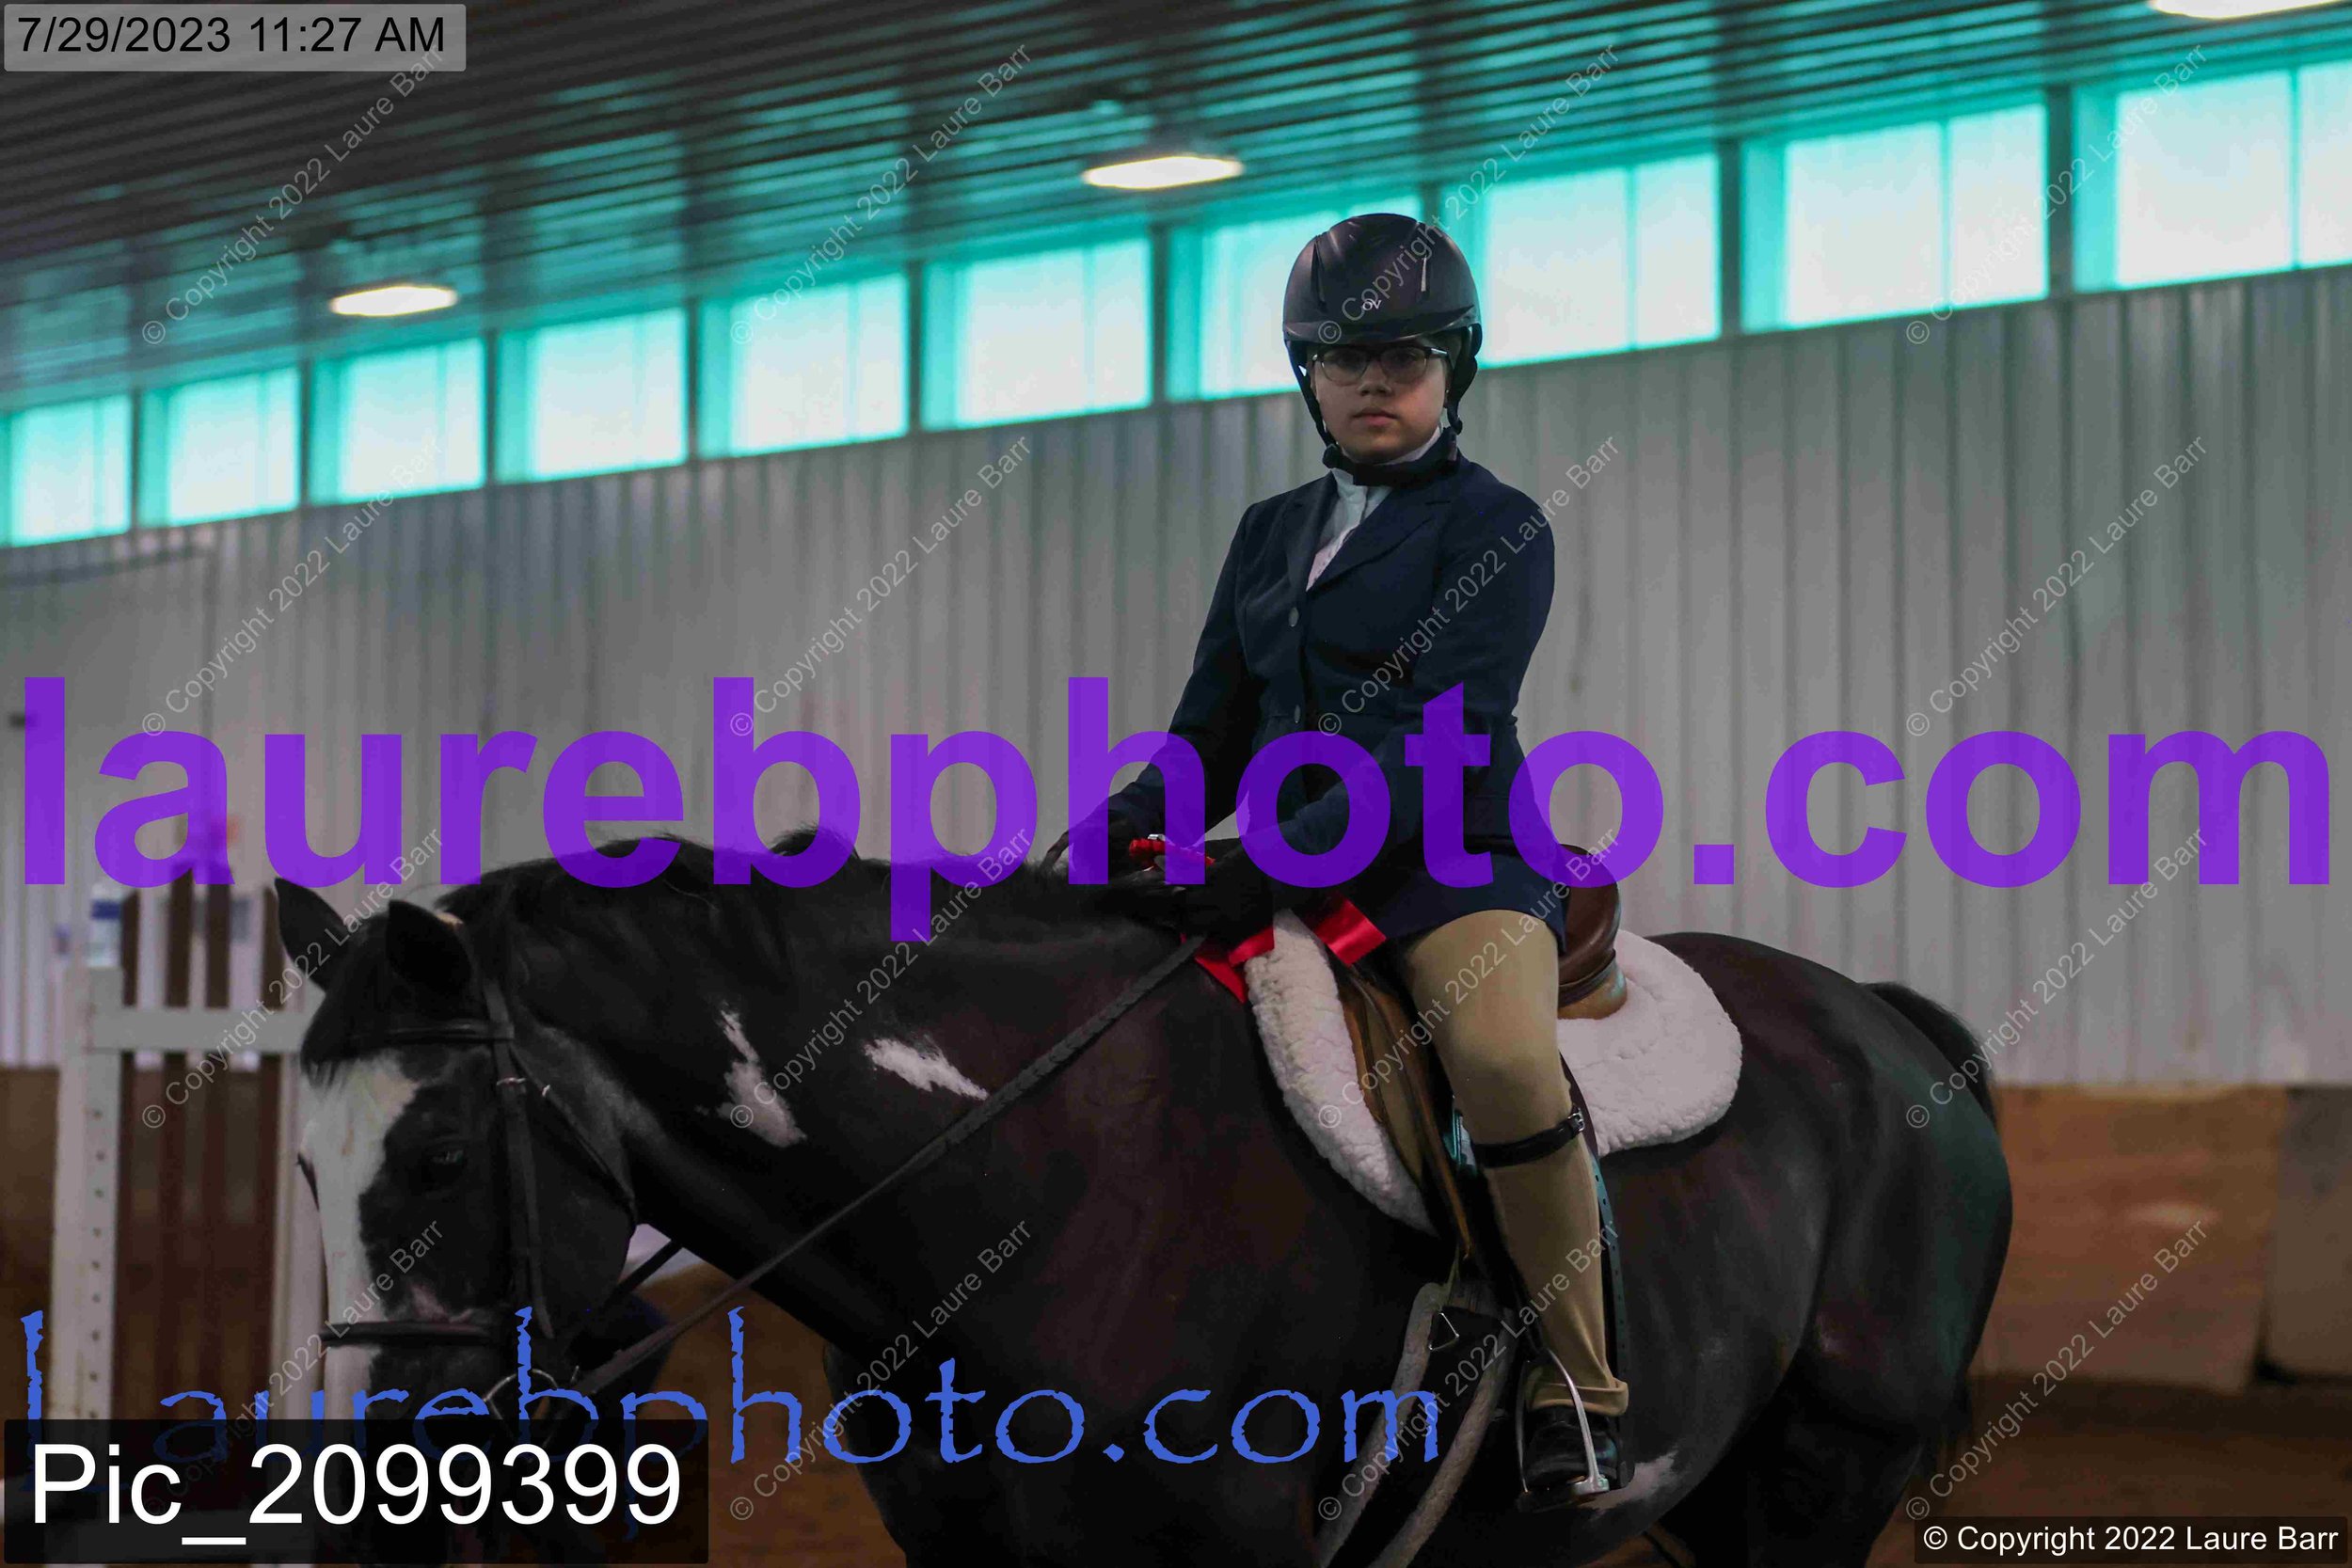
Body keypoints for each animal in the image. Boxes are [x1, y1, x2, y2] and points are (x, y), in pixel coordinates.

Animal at [277, 833, 2010, 1567]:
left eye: (437, 1157)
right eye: (299, 1165)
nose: (369, 1476)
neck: (1031, 1177)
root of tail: (1883, 1027)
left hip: (1825, 1475)